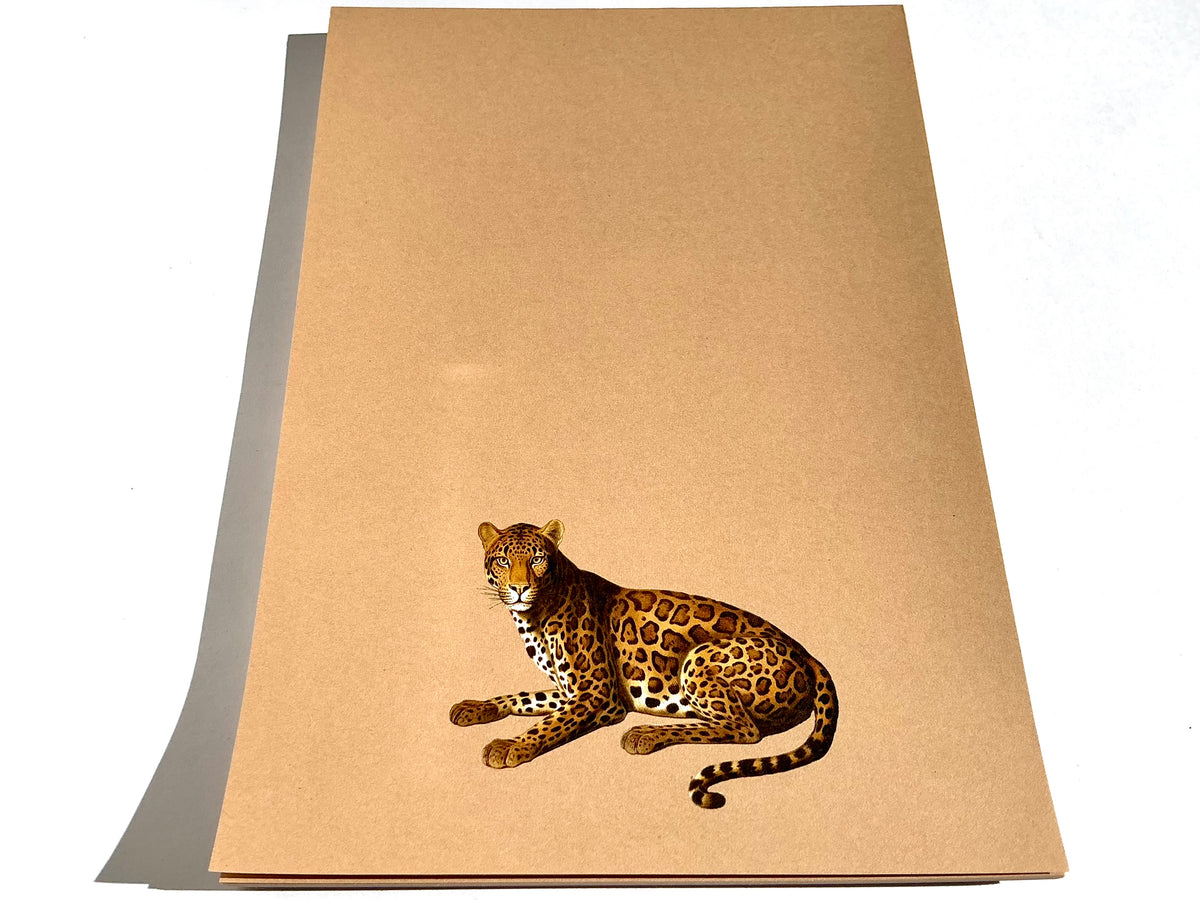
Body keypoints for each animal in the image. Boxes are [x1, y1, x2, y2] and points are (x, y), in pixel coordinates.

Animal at [450, 520, 838, 808]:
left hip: (698, 659)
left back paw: (645, 734)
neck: (534, 617)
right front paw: (476, 707)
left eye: (537, 559)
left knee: (745, 729)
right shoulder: (570, 690)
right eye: (503, 560)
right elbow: (523, 698)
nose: (519, 588)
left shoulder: (598, 694)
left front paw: (511, 746)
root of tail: (806, 652)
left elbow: (549, 724)